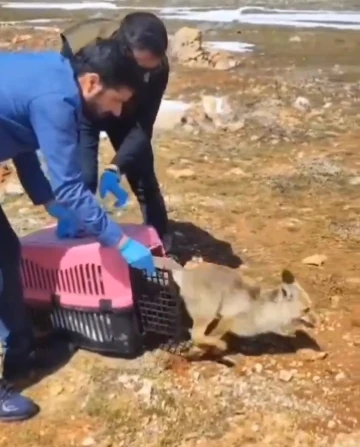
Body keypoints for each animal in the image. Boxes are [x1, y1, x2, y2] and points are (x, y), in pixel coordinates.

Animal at [152, 258, 318, 356]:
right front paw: (206, 349)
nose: (317, 322)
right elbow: (209, 337)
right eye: (306, 309)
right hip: (209, 311)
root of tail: (186, 274)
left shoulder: (225, 321)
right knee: (197, 334)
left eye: (311, 307)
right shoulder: (229, 319)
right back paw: (219, 345)